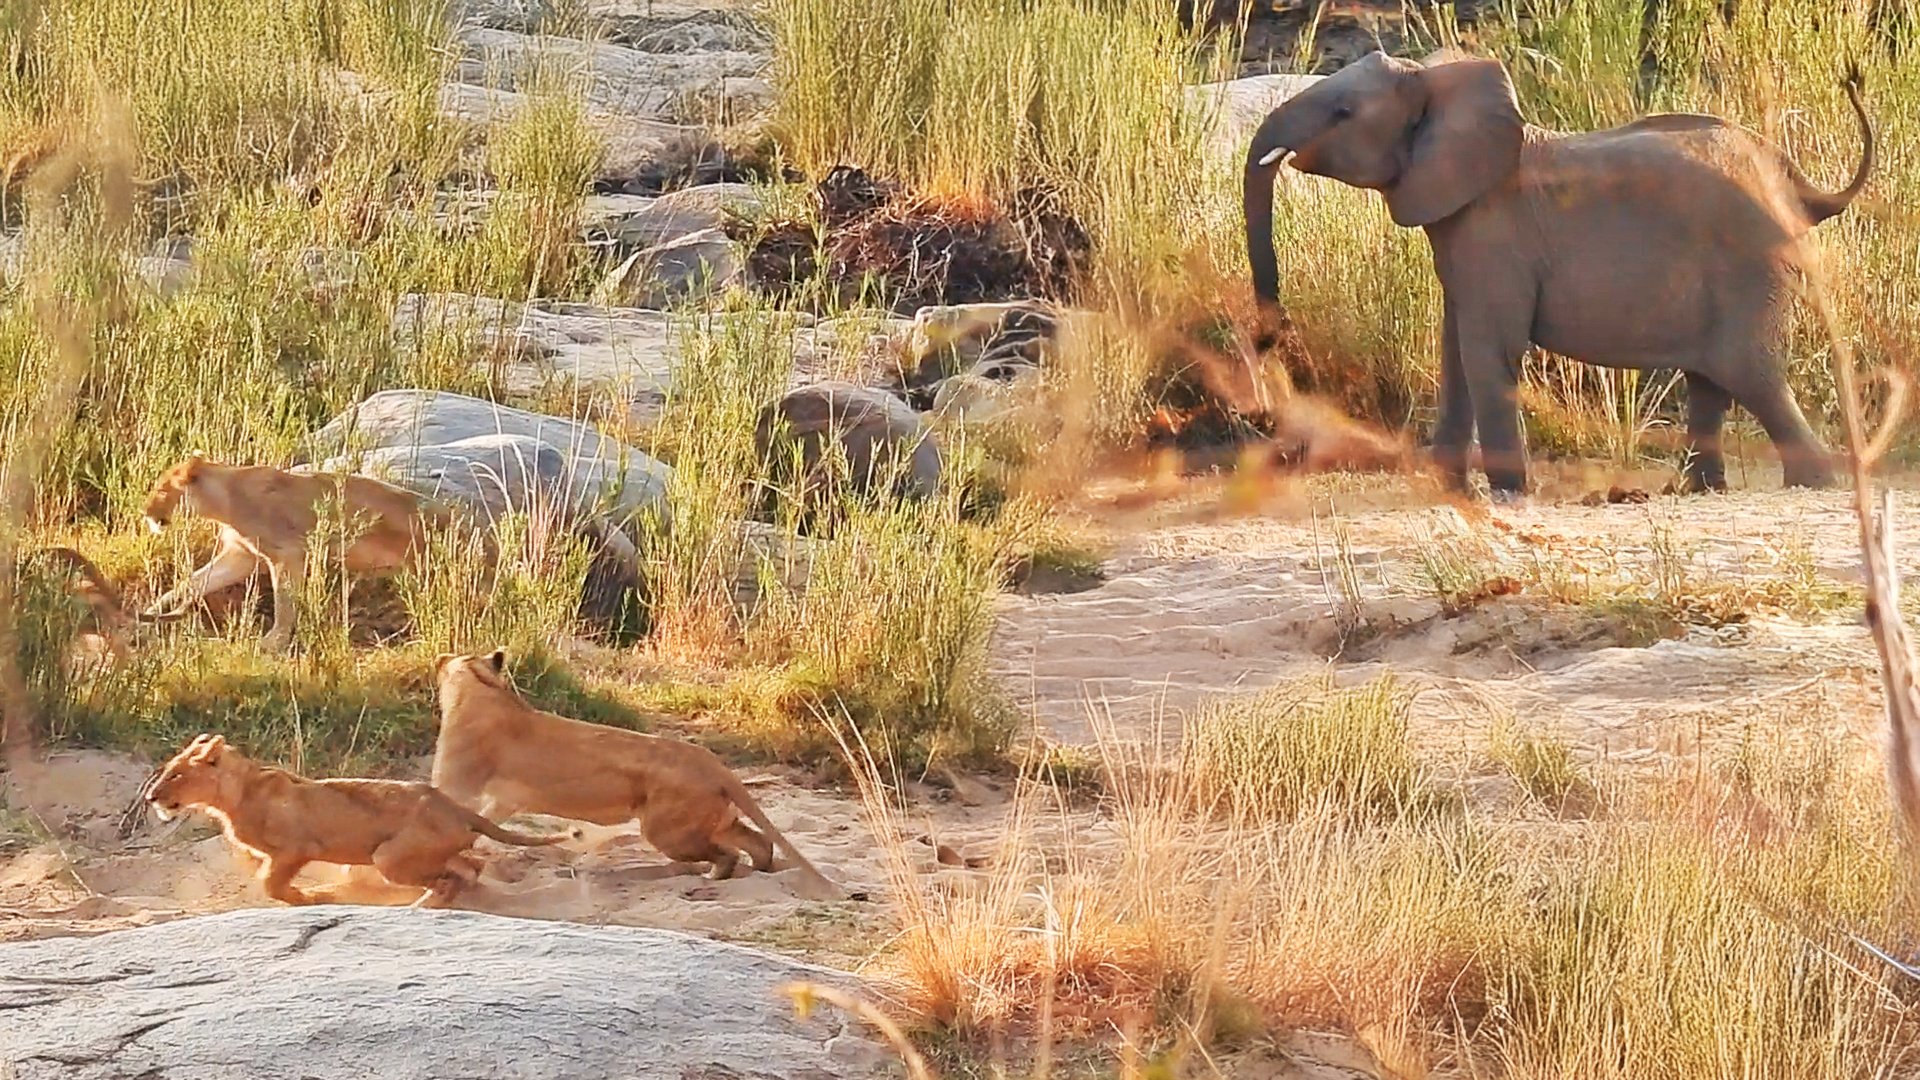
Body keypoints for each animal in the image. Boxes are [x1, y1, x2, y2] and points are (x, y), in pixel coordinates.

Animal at [142, 454, 451, 653]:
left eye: (161, 491)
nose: (144, 513)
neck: (223, 501)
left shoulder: (287, 554)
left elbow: (284, 601)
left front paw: (273, 641)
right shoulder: (241, 555)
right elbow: (193, 582)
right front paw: (154, 611)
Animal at [142, 732, 575, 907]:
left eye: (176, 774)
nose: (150, 796)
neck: (236, 794)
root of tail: (456, 806)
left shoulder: (297, 848)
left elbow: (271, 885)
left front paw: (308, 898)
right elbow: (266, 880)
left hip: (390, 857)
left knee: (447, 879)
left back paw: (420, 906)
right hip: (436, 850)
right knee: (472, 866)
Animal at [431, 649, 844, 901]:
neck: (482, 687)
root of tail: (711, 760)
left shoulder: (455, 786)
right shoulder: (504, 800)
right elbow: (482, 825)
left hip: (666, 830)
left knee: (729, 853)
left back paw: (710, 879)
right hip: (710, 820)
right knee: (759, 843)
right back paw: (760, 875)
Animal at [1243, 51, 1874, 498]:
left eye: (1343, 114)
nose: (1269, 338)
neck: (1437, 80)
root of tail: (1798, 186)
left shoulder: (1494, 234)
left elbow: (1487, 349)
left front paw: (1506, 493)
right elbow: (1456, 349)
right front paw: (1451, 491)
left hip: (1751, 262)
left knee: (1751, 374)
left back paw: (1811, 485)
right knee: (1713, 378)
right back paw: (1697, 489)